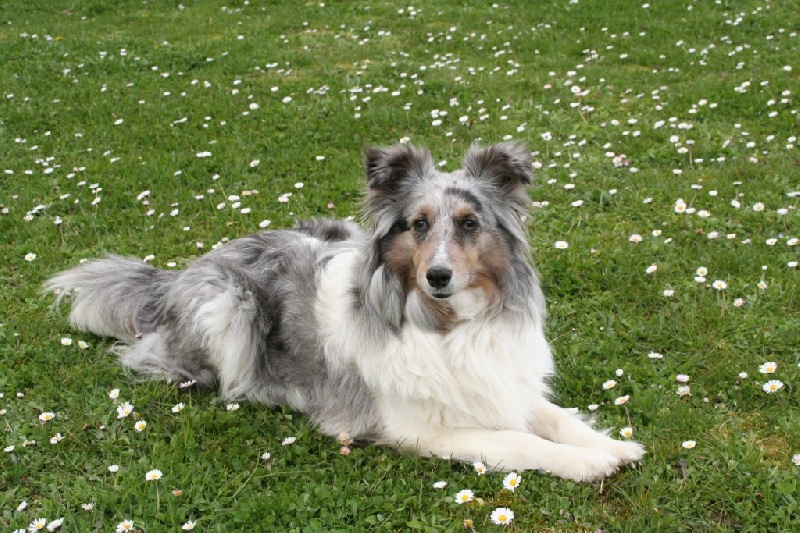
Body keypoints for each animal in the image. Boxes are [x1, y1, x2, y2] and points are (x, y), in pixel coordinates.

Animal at [45, 142, 644, 482]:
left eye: (470, 224)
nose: (438, 277)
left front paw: (613, 446)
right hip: (229, 306)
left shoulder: (500, 382)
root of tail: (177, 274)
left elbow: (553, 417)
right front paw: (587, 464)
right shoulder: (420, 429)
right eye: (418, 224)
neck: (449, 325)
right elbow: (517, 440)